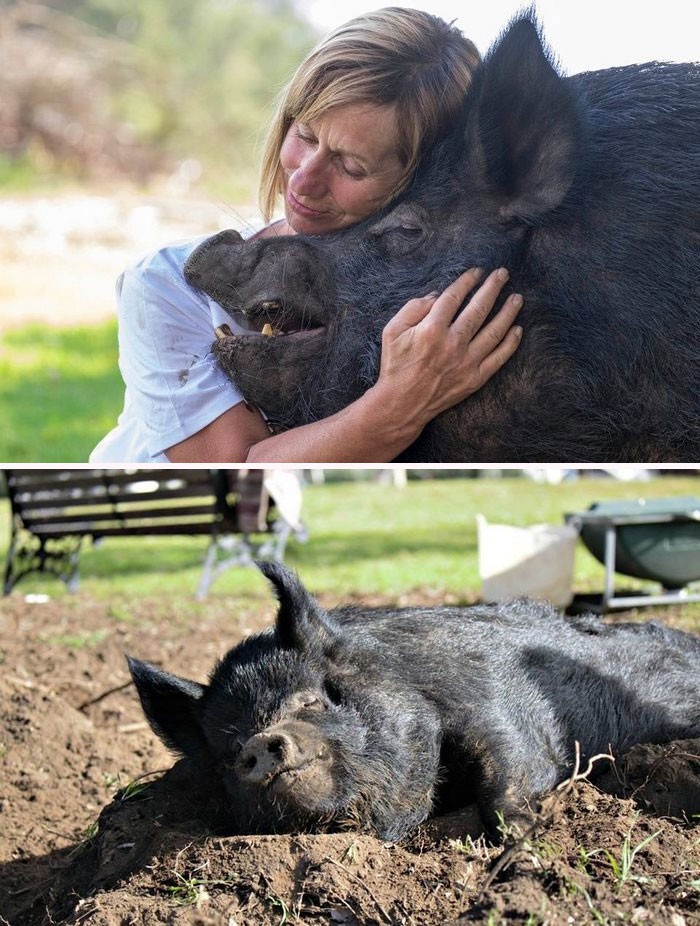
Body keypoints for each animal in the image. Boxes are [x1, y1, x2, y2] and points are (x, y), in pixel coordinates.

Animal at [126, 560, 700, 844]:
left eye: (310, 701)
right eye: (229, 751)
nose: (261, 743)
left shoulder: (498, 708)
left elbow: (506, 774)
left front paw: (528, 839)